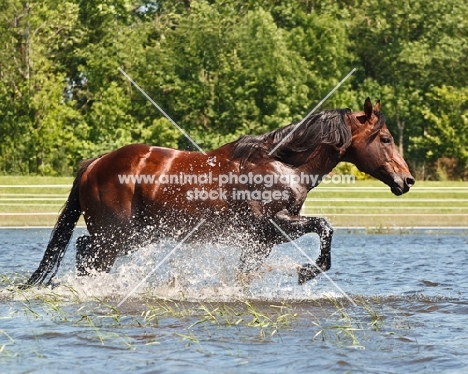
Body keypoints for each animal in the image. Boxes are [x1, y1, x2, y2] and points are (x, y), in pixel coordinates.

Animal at [24, 97, 414, 286]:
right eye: (385, 138)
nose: (407, 181)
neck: (282, 165)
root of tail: (95, 163)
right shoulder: (271, 226)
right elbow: (324, 227)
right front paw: (306, 273)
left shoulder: (261, 241)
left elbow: (245, 273)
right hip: (116, 235)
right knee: (86, 251)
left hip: (135, 236)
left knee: (84, 250)